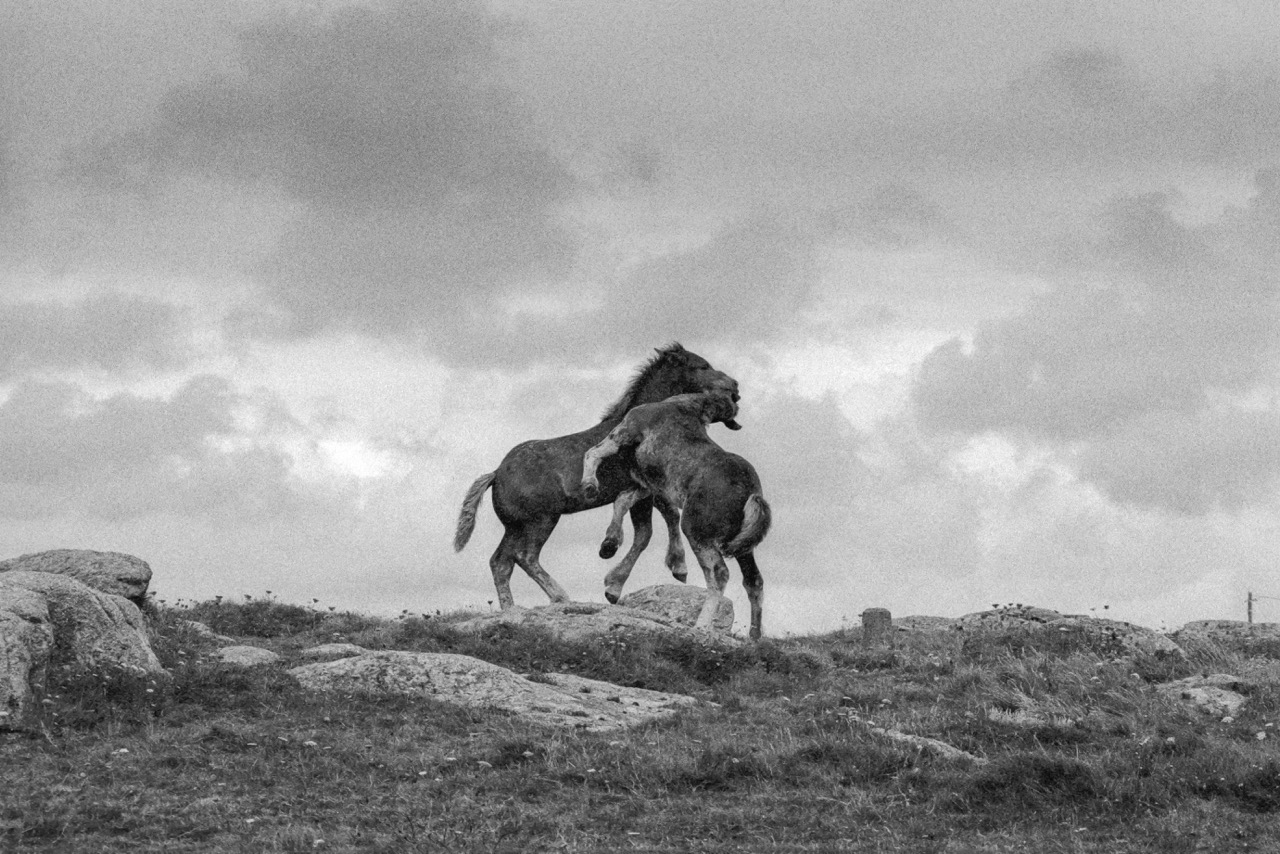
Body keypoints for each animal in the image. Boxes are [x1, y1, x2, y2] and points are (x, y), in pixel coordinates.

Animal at [454, 344, 741, 609]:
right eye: (702, 366)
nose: (735, 386)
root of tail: (496, 474)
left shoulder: (650, 492)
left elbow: (662, 521)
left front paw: (677, 568)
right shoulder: (644, 491)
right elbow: (646, 533)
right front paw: (611, 566)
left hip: (514, 526)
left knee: (501, 562)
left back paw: (510, 609)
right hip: (541, 520)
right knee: (524, 556)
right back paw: (560, 596)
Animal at [580, 391, 771, 640]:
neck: (680, 406)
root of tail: (751, 494)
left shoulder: (625, 432)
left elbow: (593, 453)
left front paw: (589, 487)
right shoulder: (647, 484)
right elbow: (622, 500)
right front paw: (608, 546)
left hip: (696, 533)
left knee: (719, 573)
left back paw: (701, 625)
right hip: (741, 547)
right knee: (753, 581)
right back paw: (754, 635)